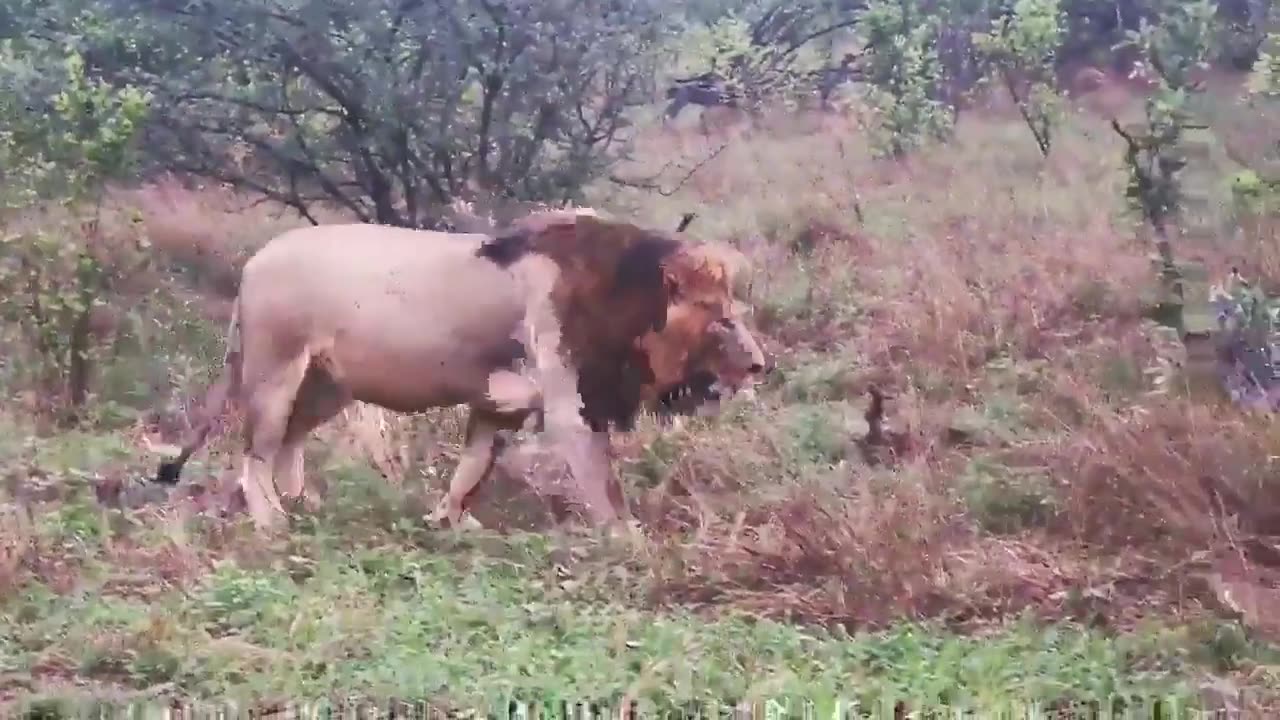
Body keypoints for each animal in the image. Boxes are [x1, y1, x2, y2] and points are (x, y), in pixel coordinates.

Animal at [152, 210, 768, 530]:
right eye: (720, 317)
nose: (761, 364)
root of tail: (253, 263)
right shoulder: (570, 405)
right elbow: (604, 485)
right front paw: (630, 542)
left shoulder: (501, 407)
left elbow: (471, 469)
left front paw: (448, 521)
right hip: (274, 372)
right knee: (253, 453)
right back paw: (272, 521)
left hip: (328, 384)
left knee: (288, 444)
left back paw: (308, 505)